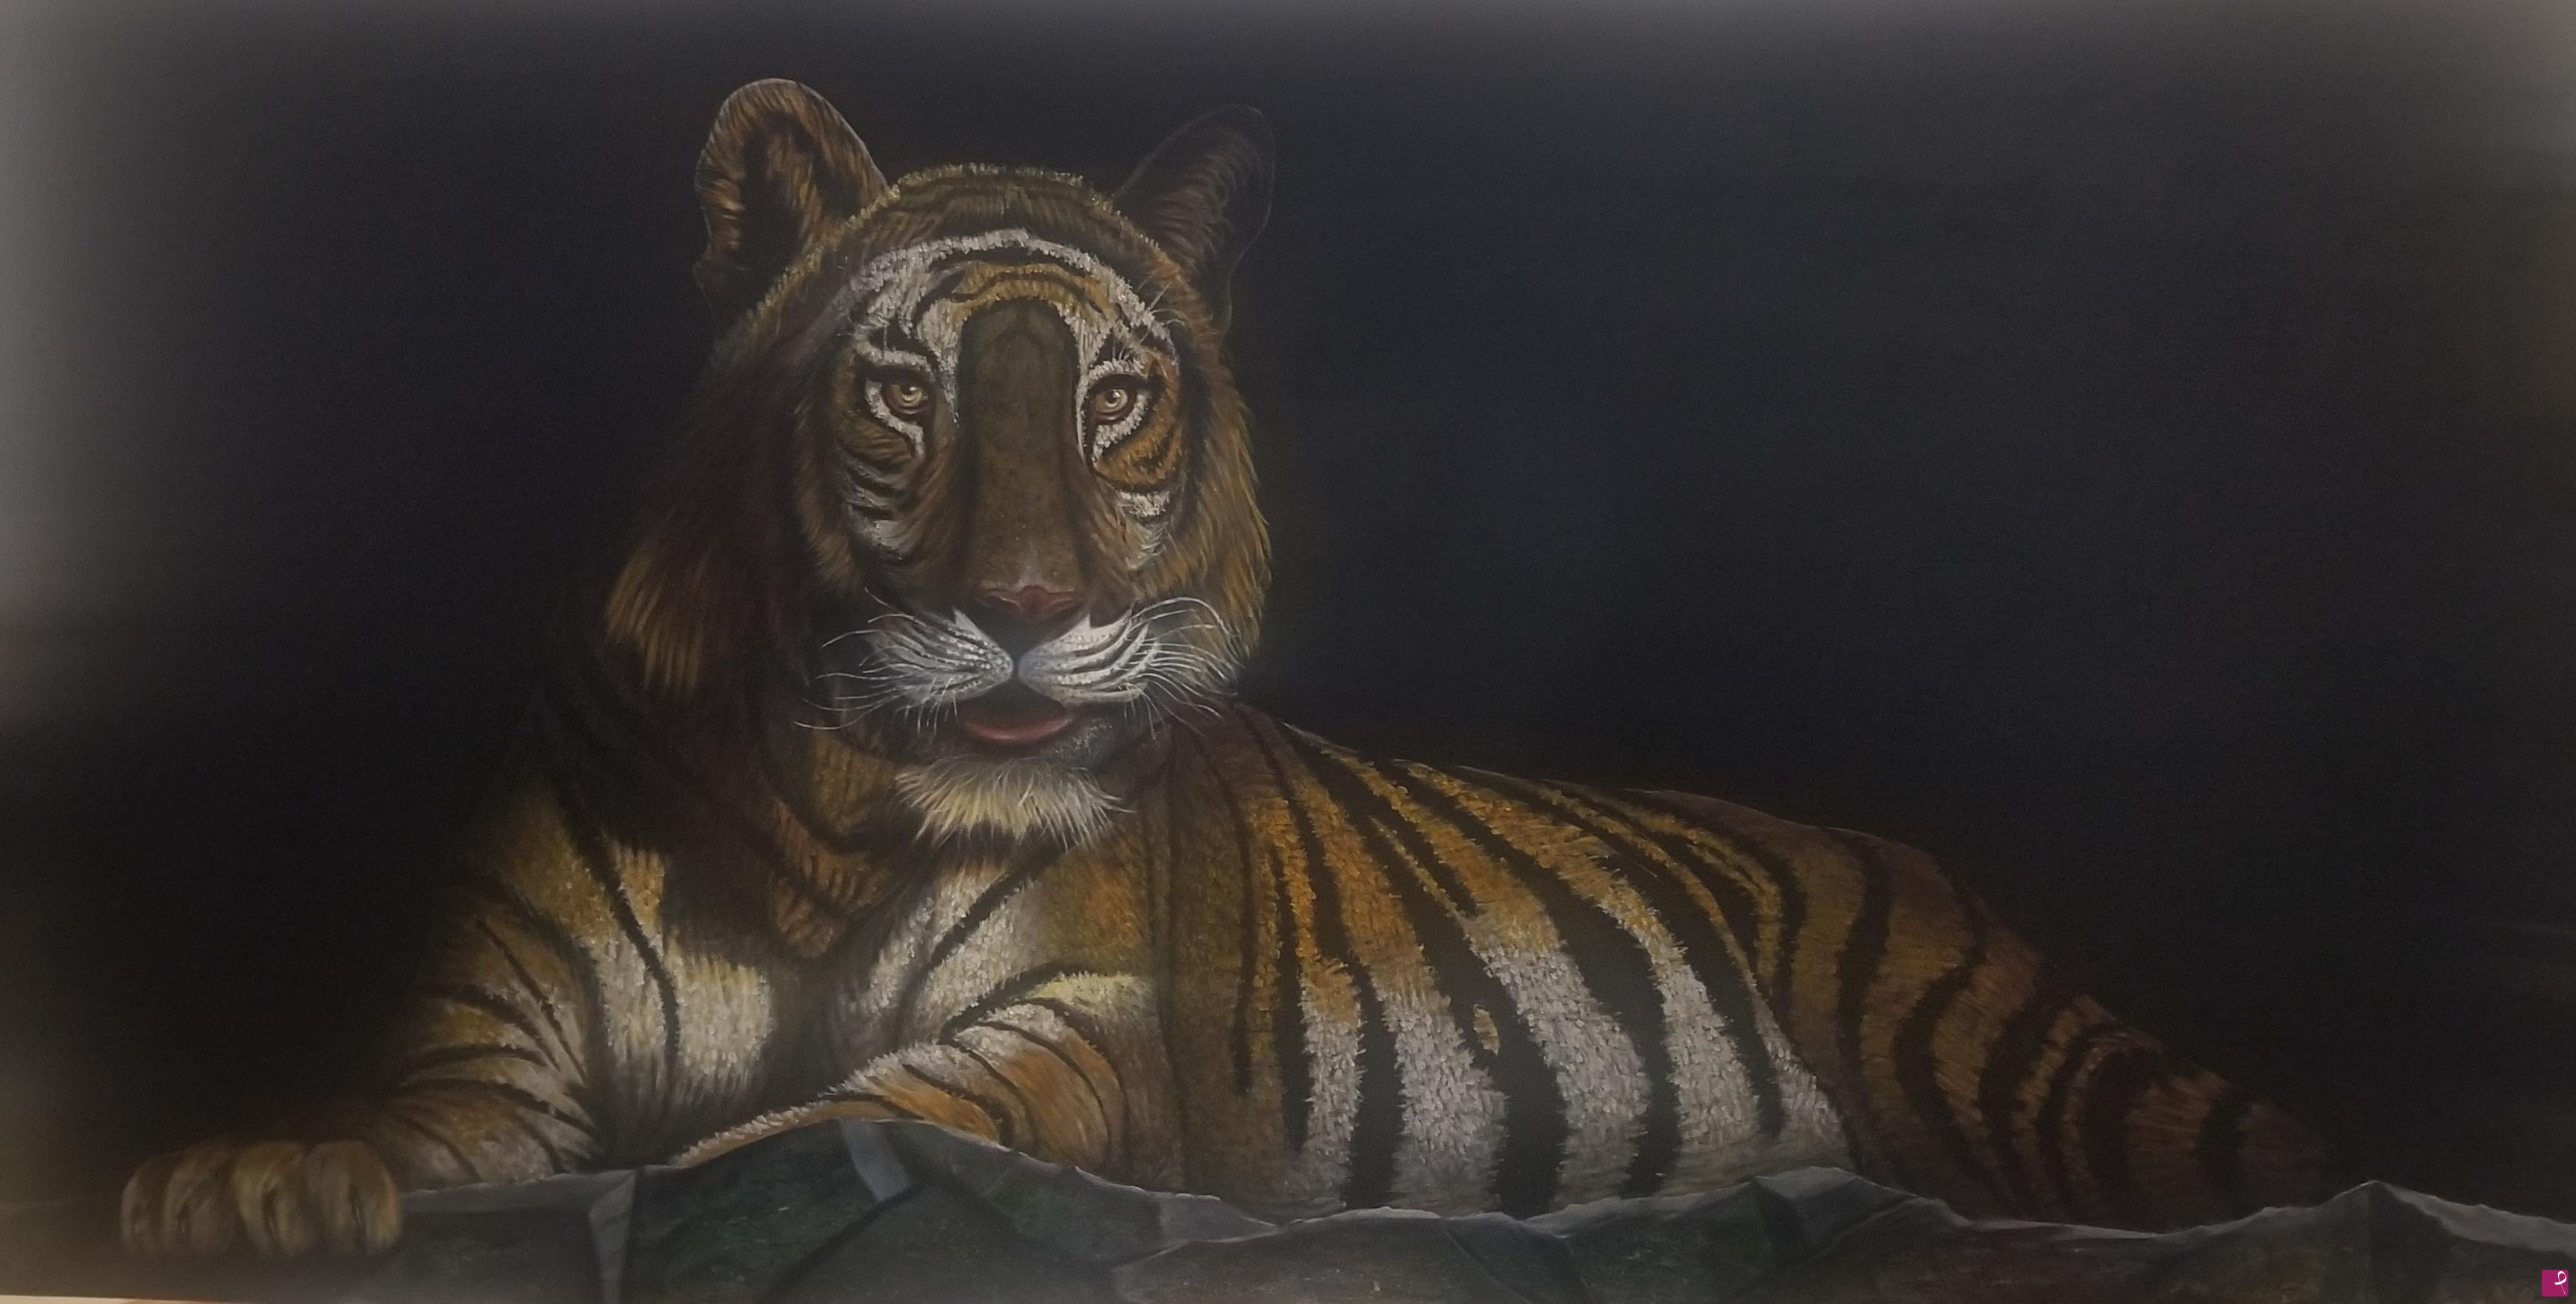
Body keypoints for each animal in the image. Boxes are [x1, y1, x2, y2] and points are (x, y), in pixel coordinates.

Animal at [120, 79, 2337, 1259]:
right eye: (908, 388)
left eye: (1114, 395)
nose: (1024, 604)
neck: (815, 818)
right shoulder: (487, 1037)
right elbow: (419, 1129)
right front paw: (253, 1176)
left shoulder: (1095, 1025)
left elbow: (805, 1125)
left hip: (2013, 1054)